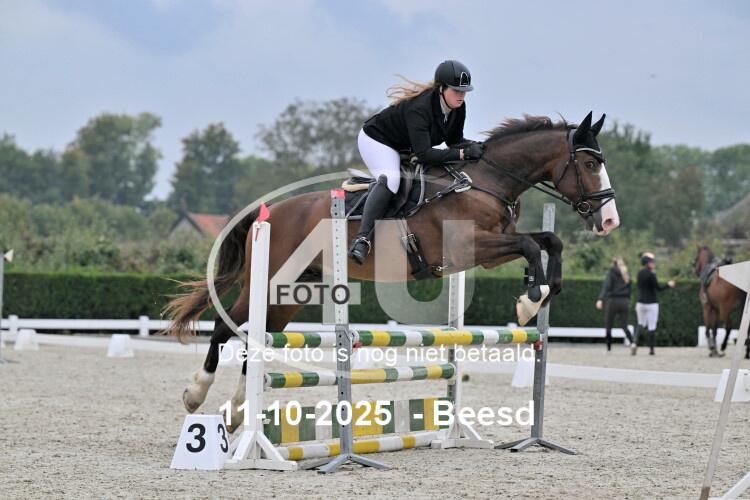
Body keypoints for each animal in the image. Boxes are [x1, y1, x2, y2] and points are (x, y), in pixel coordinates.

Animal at [164, 111, 621, 430]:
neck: (485, 181)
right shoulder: (471, 247)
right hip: (271, 282)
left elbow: (548, 241)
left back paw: (237, 412)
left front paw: (542, 291)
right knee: (225, 326)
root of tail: (269, 211)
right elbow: (529, 244)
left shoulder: (489, 252)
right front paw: (530, 299)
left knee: (256, 338)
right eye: (588, 164)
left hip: (293, 293)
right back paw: (195, 395)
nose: (609, 221)